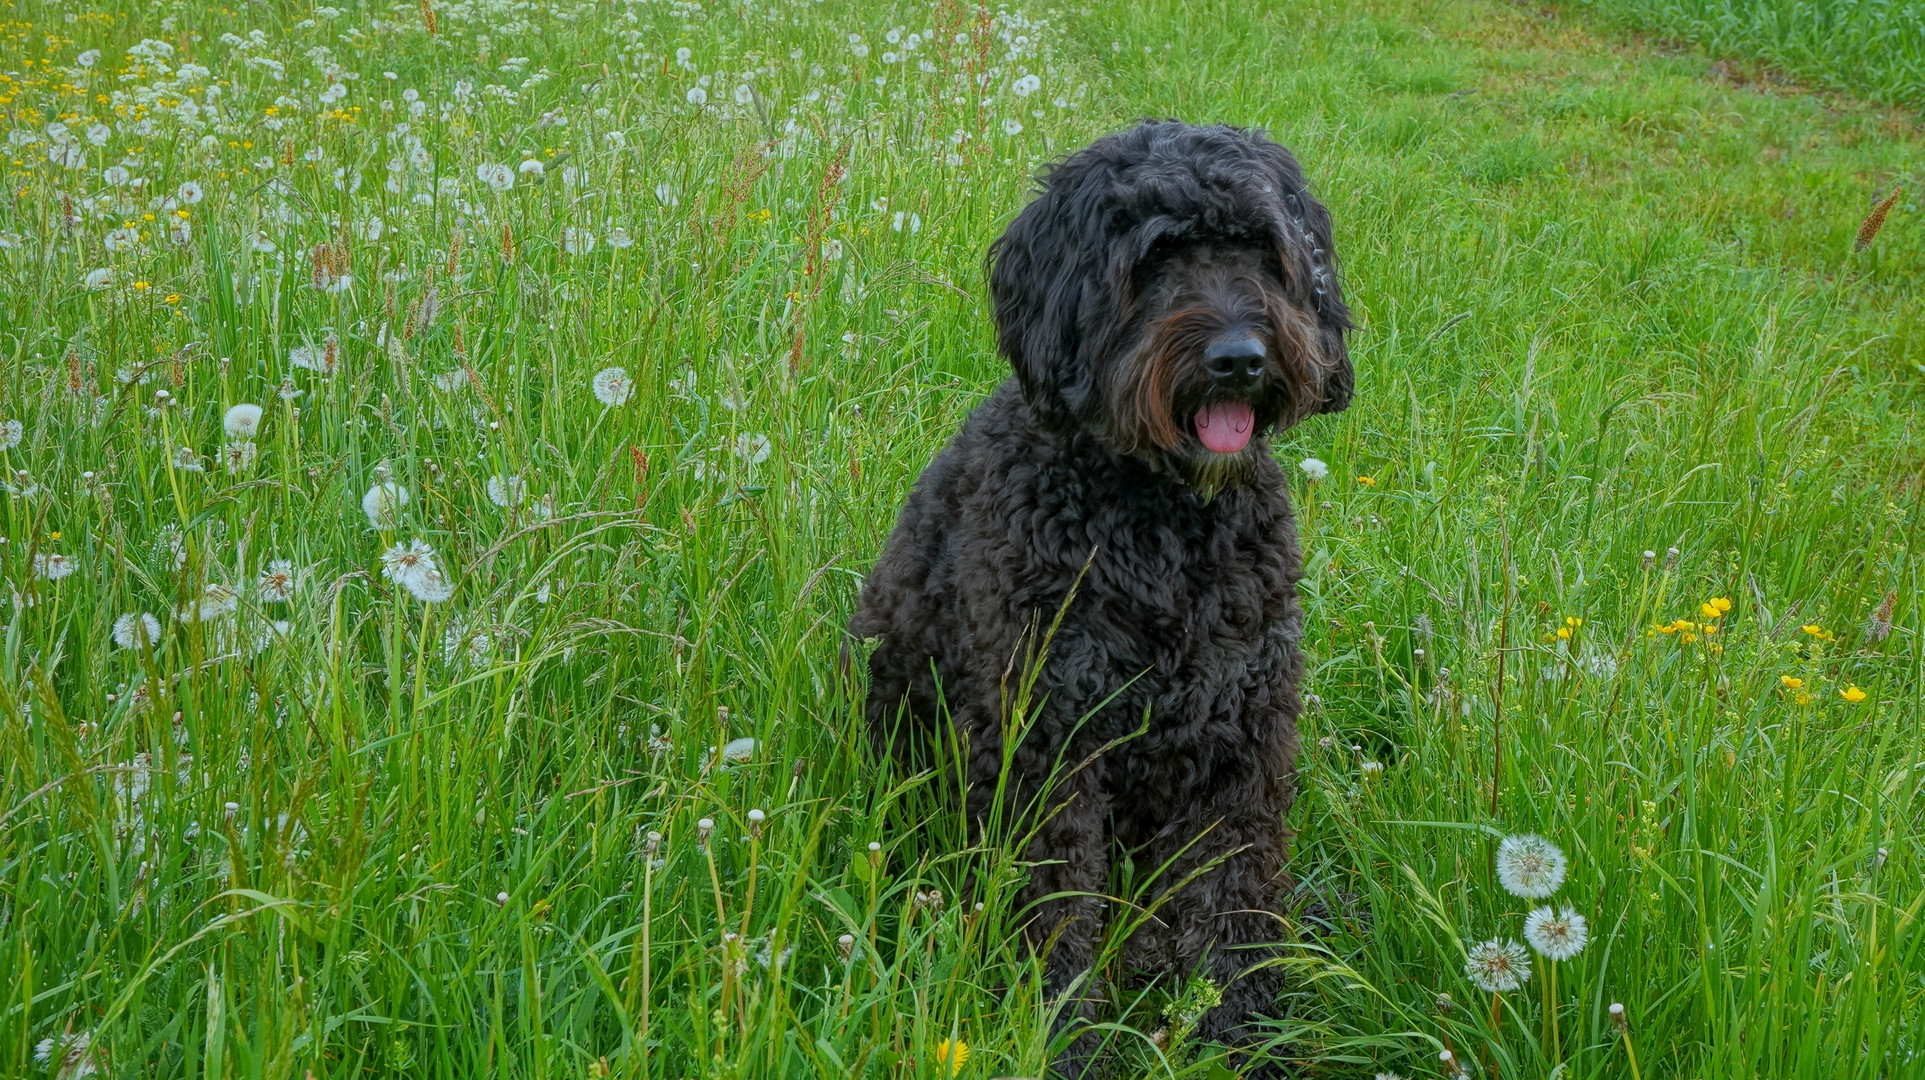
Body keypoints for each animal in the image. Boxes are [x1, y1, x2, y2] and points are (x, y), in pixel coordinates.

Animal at [858, 119, 1355, 1070]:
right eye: (1154, 259)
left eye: (1261, 250)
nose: (1239, 359)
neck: (1165, 518)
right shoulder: (1046, 741)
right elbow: (1055, 911)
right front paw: (1061, 1037)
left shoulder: (1242, 733)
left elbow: (1233, 894)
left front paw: (1247, 1034)